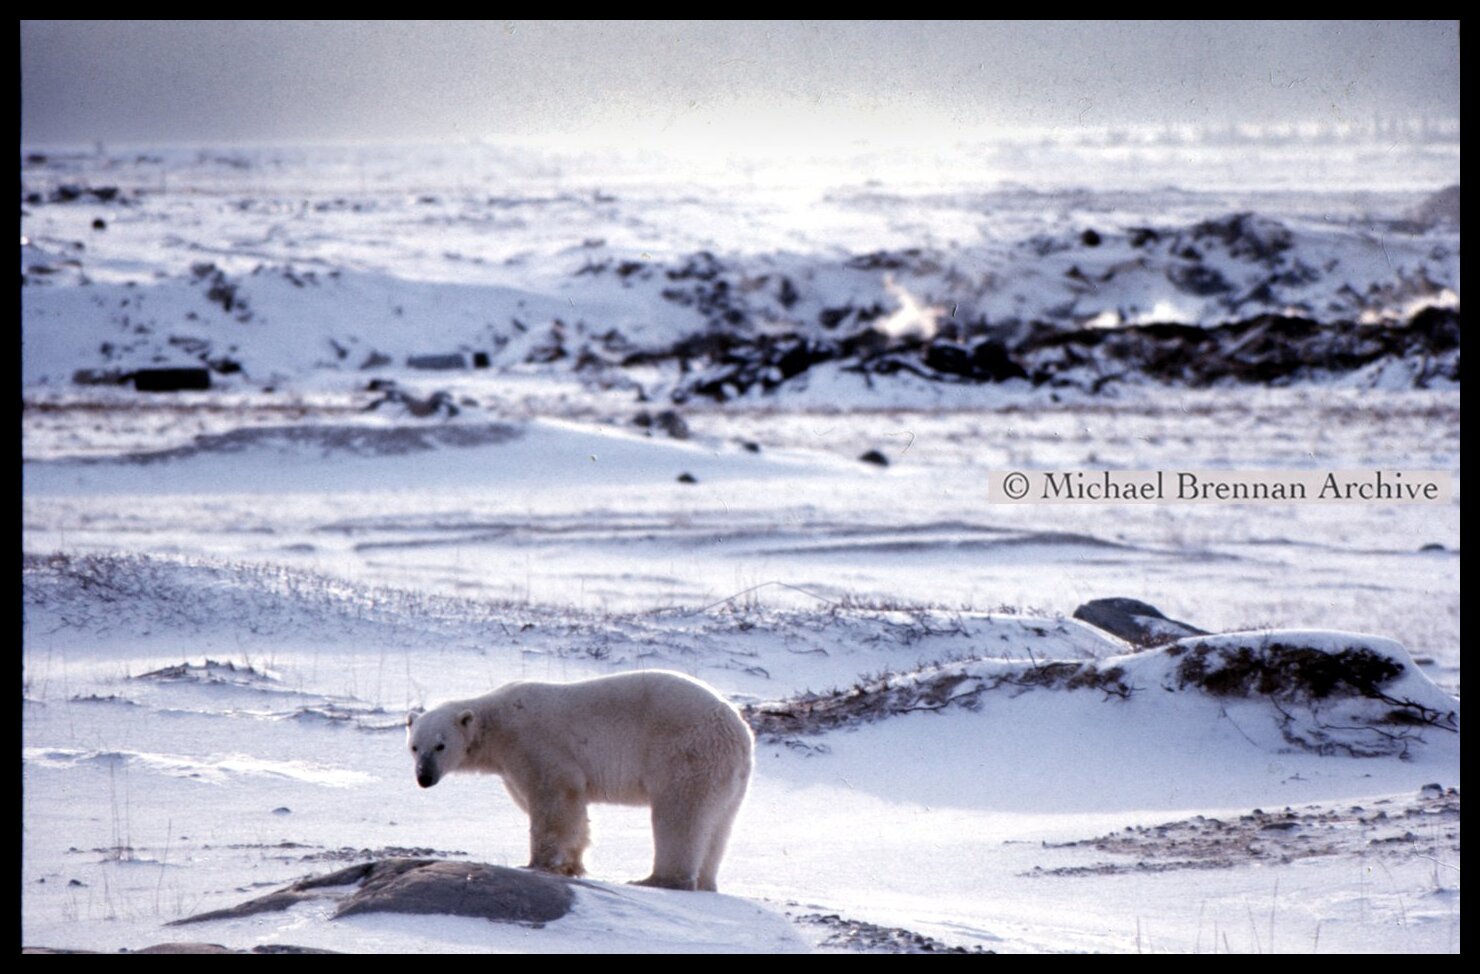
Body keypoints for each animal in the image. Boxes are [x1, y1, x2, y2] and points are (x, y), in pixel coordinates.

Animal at [406, 669, 753, 892]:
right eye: (414, 747)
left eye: (441, 745)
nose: (424, 777)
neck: (498, 723)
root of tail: (739, 732)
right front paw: (572, 865)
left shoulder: (535, 744)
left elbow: (554, 799)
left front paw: (538, 863)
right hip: (729, 778)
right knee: (718, 825)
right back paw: (706, 882)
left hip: (686, 755)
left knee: (680, 816)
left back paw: (656, 880)